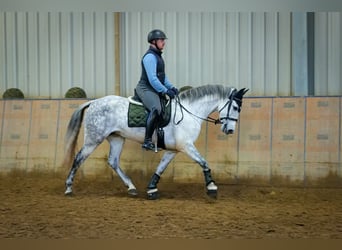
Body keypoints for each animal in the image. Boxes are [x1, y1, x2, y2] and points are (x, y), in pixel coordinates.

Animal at [62, 84, 247, 199]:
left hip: (117, 138)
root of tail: (94, 102)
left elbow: (161, 168)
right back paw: (69, 188)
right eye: (235, 107)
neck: (190, 112)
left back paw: (131, 187)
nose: (230, 131)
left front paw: (151, 188)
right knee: (79, 158)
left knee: (113, 161)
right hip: (94, 139)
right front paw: (212, 188)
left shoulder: (174, 149)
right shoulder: (186, 146)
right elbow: (203, 162)